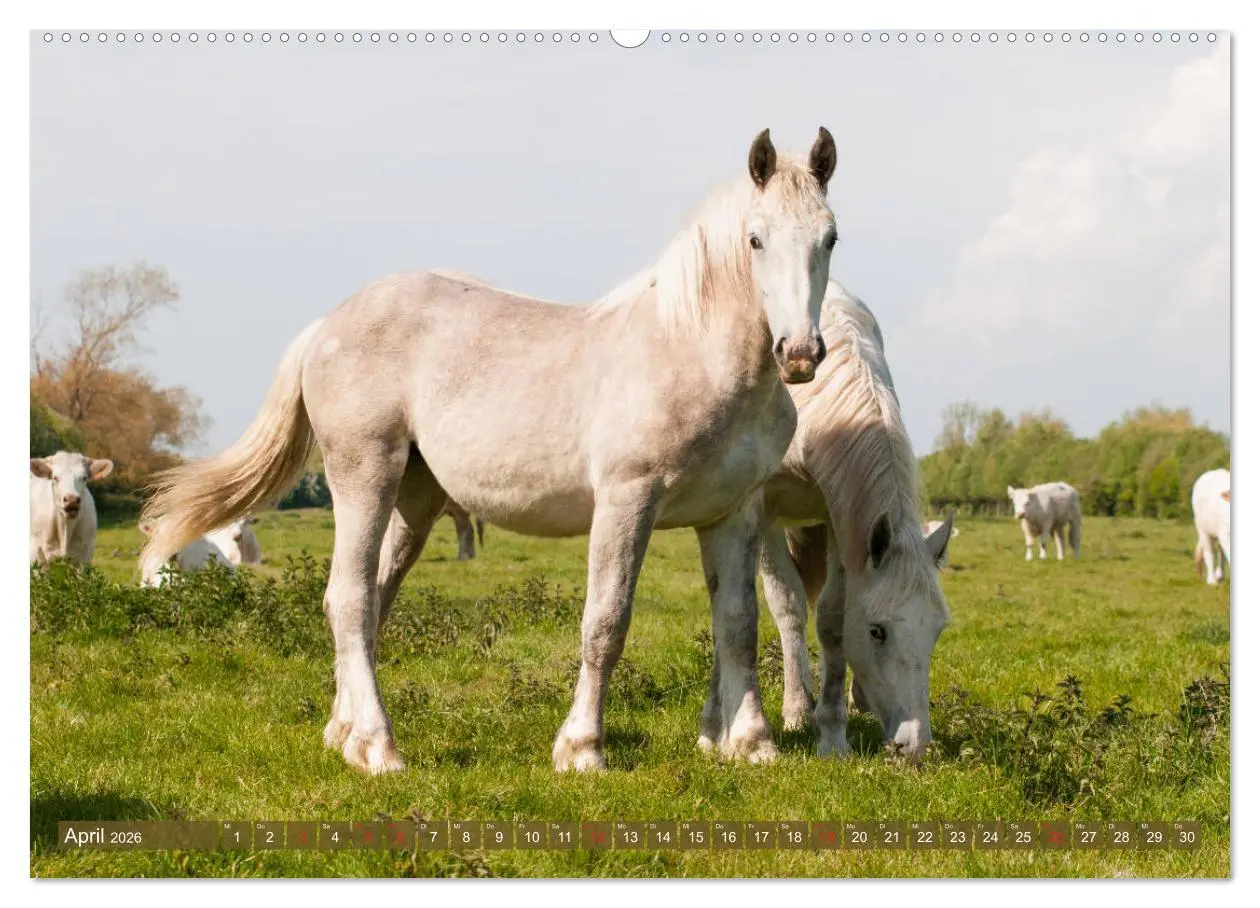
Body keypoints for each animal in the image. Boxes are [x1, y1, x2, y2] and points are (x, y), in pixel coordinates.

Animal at [141, 127, 839, 775]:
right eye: (755, 240)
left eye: (829, 238)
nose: (801, 354)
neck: (689, 353)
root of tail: (326, 326)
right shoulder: (627, 502)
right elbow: (605, 623)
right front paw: (582, 749)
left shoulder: (733, 514)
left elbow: (738, 625)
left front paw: (751, 744)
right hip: (364, 477)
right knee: (349, 598)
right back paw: (380, 748)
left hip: (415, 500)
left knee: (371, 601)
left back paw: (345, 735)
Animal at [731, 281, 952, 761]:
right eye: (877, 631)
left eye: (938, 629)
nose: (914, 744)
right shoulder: (763, 508)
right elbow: (788, 605)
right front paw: (800, 711)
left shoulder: (841, 519)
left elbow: (833, 617)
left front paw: (832, 731)